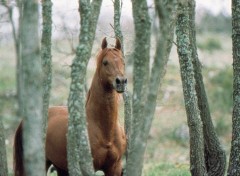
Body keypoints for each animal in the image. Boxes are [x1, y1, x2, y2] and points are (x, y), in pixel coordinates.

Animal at [12, 37, 127, 176]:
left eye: (123, 62)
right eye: (105, 62)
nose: (121, 81)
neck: (105, 131)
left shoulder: (114, 168)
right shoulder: (86, 168)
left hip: (61, 167)